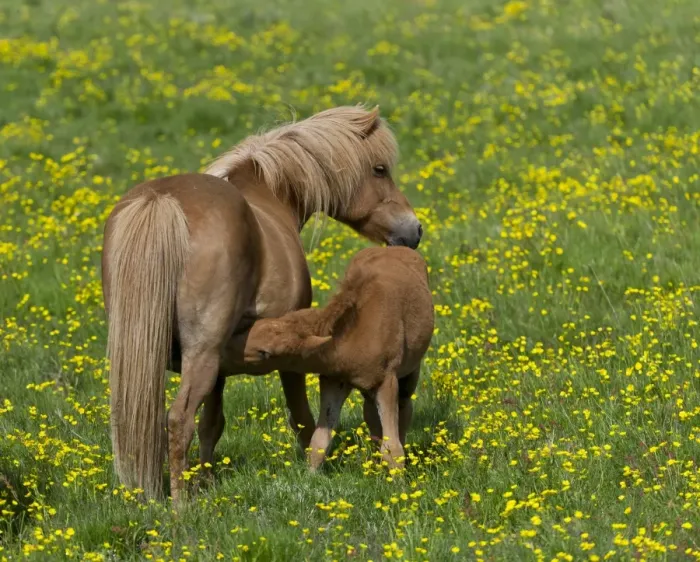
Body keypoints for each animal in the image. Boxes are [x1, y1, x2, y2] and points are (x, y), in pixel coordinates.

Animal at [238, 246, 434, 471]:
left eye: (264, 352)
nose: (232, 350)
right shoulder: (335, 381)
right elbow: (319, 441)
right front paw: (310, 475)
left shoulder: (387, 382)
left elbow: (392, 448)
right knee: (372, 417)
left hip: (409, 375)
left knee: (404, 408)